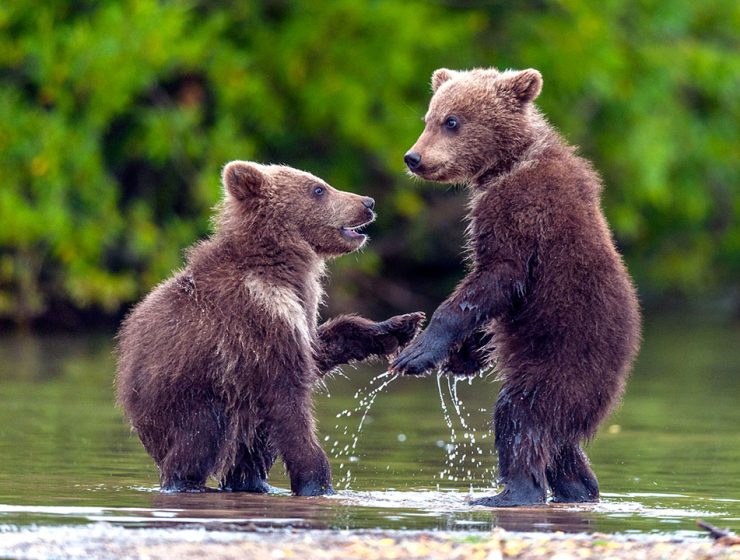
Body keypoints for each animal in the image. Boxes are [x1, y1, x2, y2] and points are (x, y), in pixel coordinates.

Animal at [116, 161, 424, 495]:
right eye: (318, 189)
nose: (367, 203)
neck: (280, 267)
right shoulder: (258, 320)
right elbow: (287, 401)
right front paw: (317, 481)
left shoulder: (298, 315)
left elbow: (319, 350)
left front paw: (401, 326)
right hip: (187, 396)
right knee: (200, 438)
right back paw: (188, 481)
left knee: (249, 446)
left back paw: (253, 482)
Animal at [392, 67, 641, 507]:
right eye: (428, 117)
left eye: (452, 121)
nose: (414, 158)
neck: (508, 163)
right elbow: (489, 301)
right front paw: (462, 357)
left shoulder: (523, 215)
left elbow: (494, 281)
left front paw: (417, 353)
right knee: (561, 448)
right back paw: (579, 489)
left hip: (562, 363)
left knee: (521, 415)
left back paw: (508, 492)